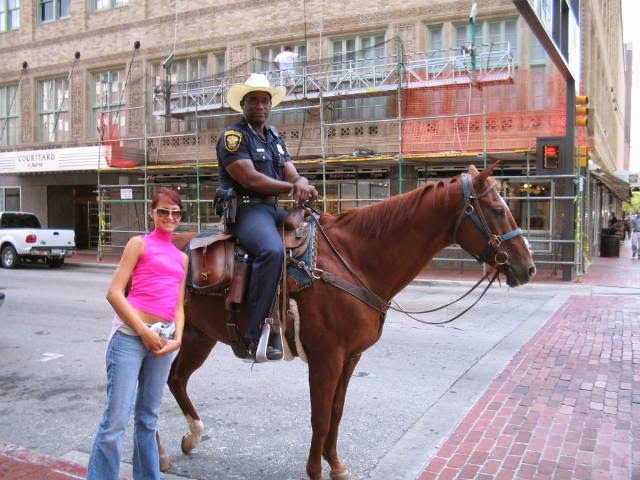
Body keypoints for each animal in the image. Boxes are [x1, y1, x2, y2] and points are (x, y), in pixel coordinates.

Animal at [164, 163, 536, 480]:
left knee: (176, 379)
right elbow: (320, 416)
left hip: (199, 336)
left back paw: (191, 437)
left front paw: (336, 465)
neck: (355, 260)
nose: (528, 268)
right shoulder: (326, 358)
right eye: (498, 210)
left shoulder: (350, 357)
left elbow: (337, 412)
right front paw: (315, 471)